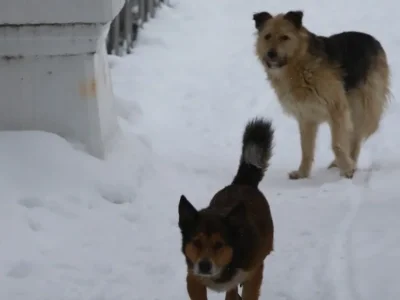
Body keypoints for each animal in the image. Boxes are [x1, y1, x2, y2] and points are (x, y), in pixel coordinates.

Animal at [179, 118, 276, 300]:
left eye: (219, 244)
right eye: (196, 242)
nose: (204, 265)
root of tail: (242, 183)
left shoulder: (254, 273)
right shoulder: (193, 278)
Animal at [253, 9, 390, 179]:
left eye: (284, 37)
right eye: (267, 36)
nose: (270, 54)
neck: (300, 66)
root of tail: (372, 38)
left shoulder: (337, 108)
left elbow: (337, 144)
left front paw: (347, 168)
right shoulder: (306, 116)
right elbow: (306, 148)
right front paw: (302, 173)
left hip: (364, 105)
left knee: (356, 136)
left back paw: (349, 161)